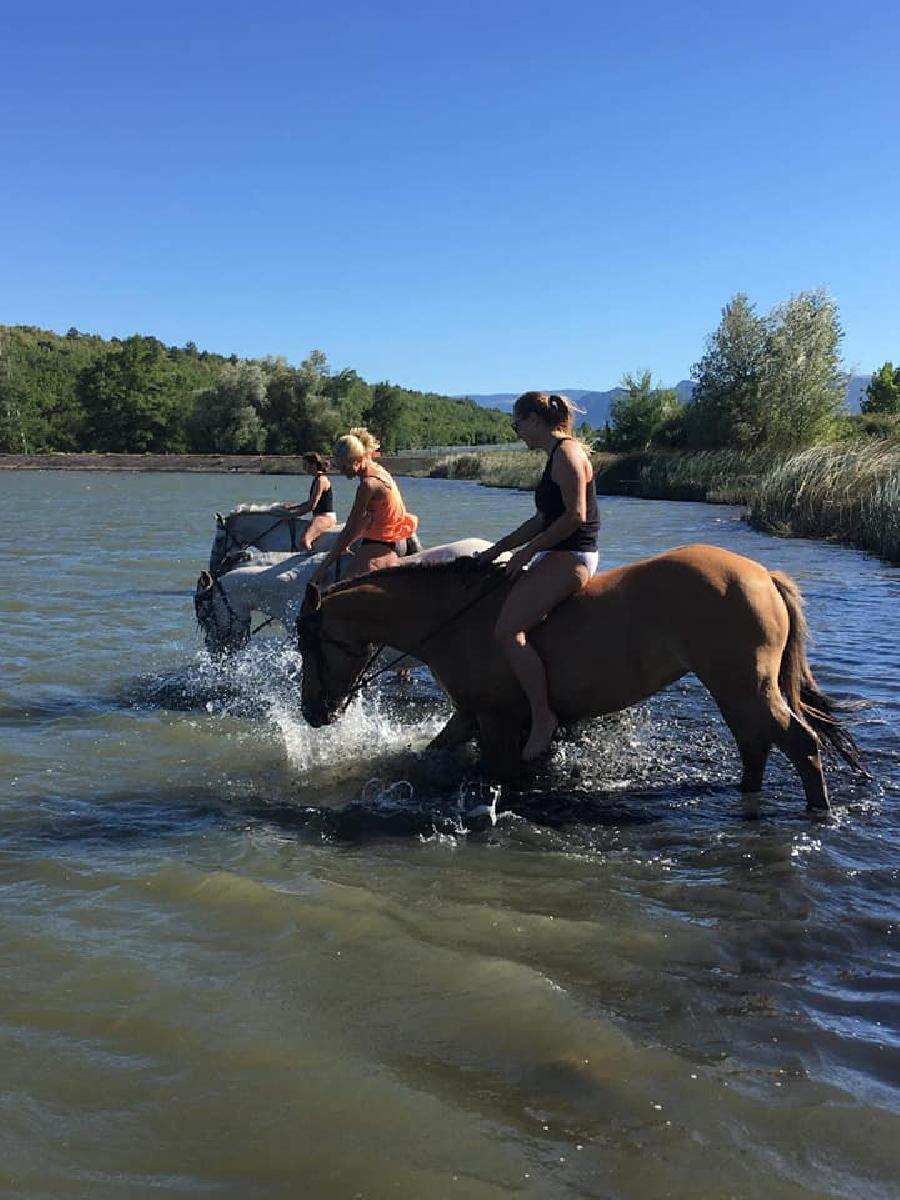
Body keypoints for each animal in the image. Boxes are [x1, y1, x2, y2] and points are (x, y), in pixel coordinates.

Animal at [297, 547, 868, 816]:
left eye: (310, 644)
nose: (313, 713)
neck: (455, 618)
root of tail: (761, 575)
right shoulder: (469, 714)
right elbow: (427, 754)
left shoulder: (498, 720)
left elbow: (502, 776)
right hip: (736, 688)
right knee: (756, 746)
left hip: (745, 685)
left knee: (801, 744)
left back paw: (818, 814)